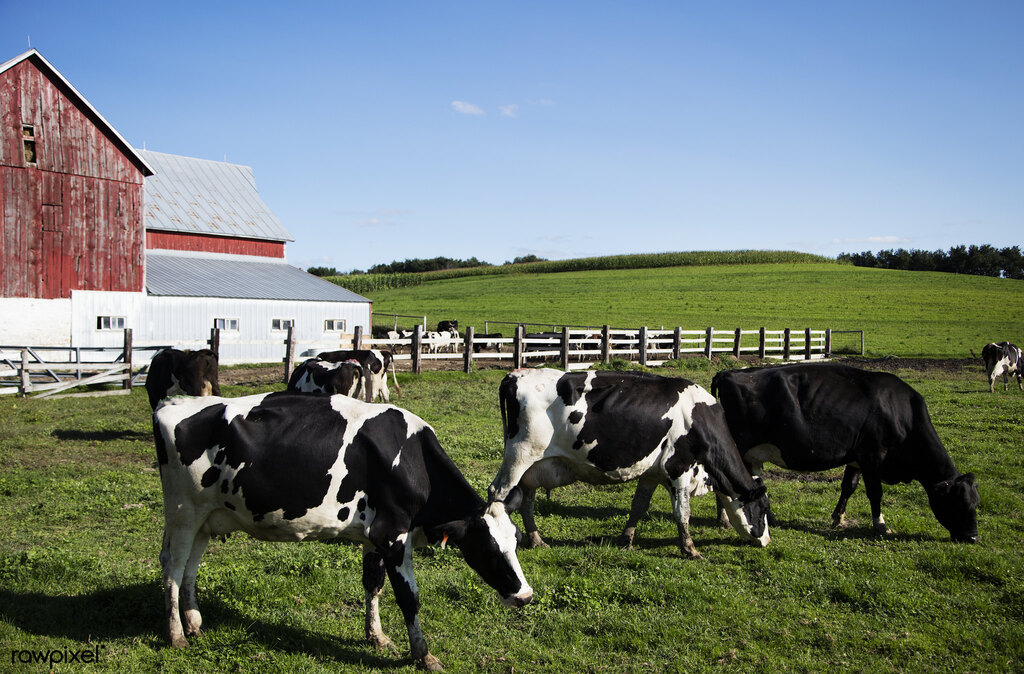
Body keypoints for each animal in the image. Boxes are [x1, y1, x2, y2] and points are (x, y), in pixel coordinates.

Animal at [156, 391, 536, 667]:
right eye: (487, 548)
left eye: (517, 542)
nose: (525, 596)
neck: (412, 459)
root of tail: (172, 402)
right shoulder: (393, 534)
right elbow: (408, 597)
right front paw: (423, 654)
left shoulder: (373, 535)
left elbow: (373, 584)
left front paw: (376, 636)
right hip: (183, 513)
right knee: (173, 569)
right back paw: (176, 634)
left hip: (206, 518)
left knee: (189, 568)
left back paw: (194, 623)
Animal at [487, 366, 770, 557]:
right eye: (763, 509)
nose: (766, 541)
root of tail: (515, 375)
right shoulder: (679, 467)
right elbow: (682, 512)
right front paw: (690, 549)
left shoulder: (651, 473)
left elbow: (638, 506)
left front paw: (626, 539)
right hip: (519, 456)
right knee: (498, 492)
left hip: (532, 465)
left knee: (526, 498)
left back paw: (536, 540)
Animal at [708, 362, 978, 540]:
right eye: (960, 503)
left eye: (976, 503)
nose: (973, 537)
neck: (902, 413)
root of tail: (729, 373)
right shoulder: (873, 456)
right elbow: (875, 493)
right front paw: (881, 525)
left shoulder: (856, 458)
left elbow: (849, 486)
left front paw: (838, 517)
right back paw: (724, 520)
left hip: (752, 453)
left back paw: (768, 518)